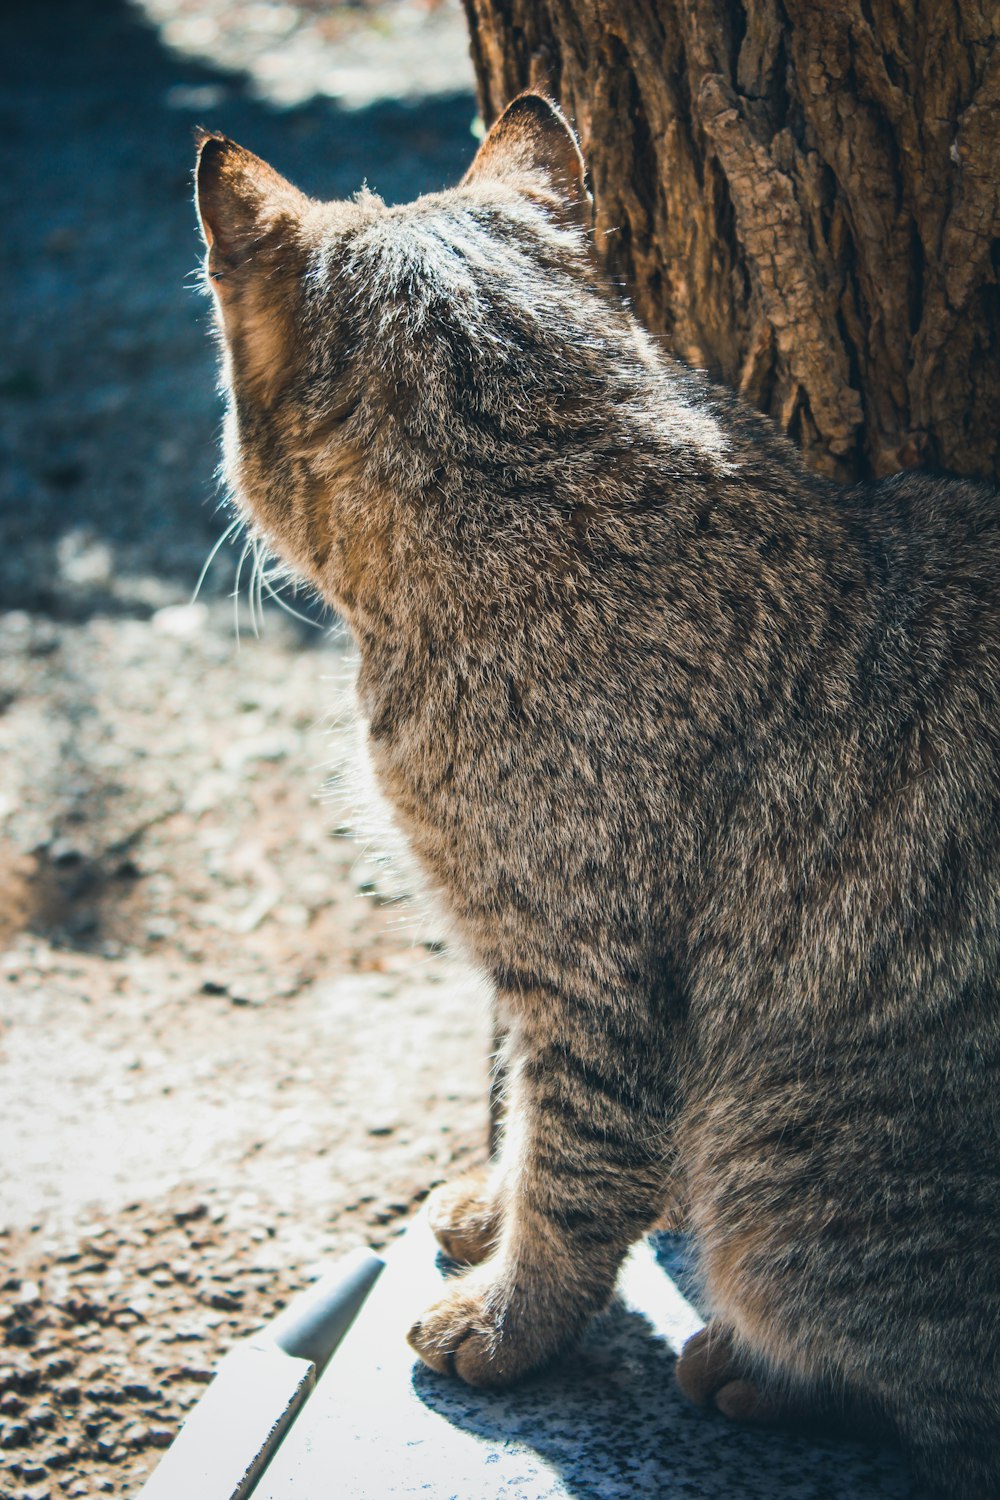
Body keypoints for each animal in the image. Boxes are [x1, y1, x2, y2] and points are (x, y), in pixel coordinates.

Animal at [194, 96, 1000, 1500]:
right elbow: (529, 1124)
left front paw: (509, 1323)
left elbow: (575, 1171)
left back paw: (760, 1373)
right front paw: (488, 1203)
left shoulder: (588, 972)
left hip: (779, 1155)